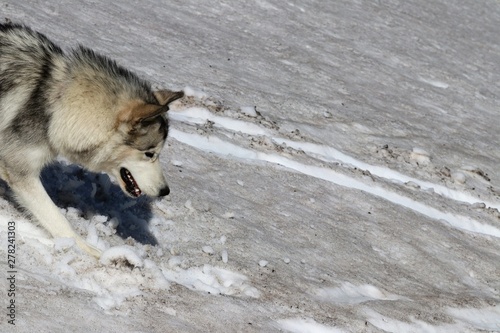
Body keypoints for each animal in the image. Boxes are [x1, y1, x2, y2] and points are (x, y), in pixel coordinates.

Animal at [0, 24, 184, 256]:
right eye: (150, 153)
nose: (165, 191)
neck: (56, 101)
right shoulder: (21, 172)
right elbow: (59, 220)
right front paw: (91, 252)